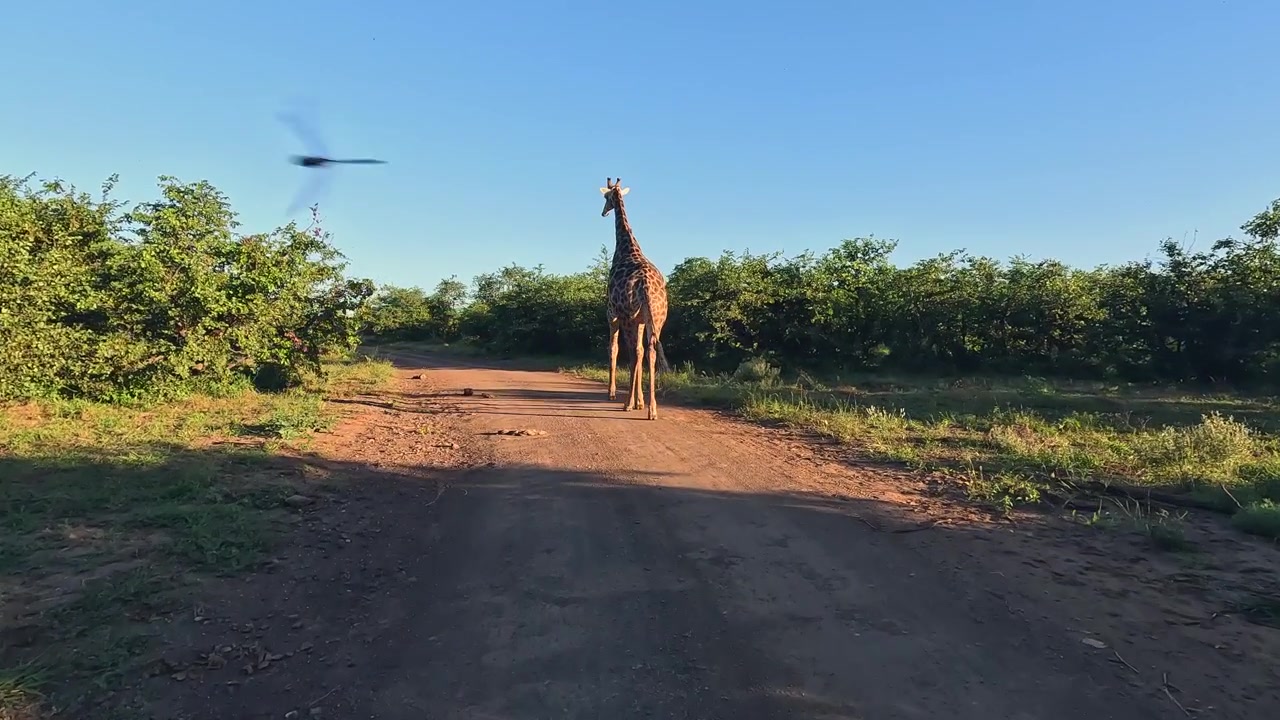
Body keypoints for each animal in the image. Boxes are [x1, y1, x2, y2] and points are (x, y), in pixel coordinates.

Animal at [600, 177, 670, 420]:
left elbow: (614, 349)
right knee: (649, 350)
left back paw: (628, 403)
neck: (626, 247)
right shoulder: (640, 320)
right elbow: (640, 353)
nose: (603, 212)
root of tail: (646, 287)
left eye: (606, 197)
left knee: (634, 352)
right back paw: (652, 409)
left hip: (628, 317)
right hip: (657, 318)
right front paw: (640, 402)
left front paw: (615, 395)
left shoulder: (613, 315)